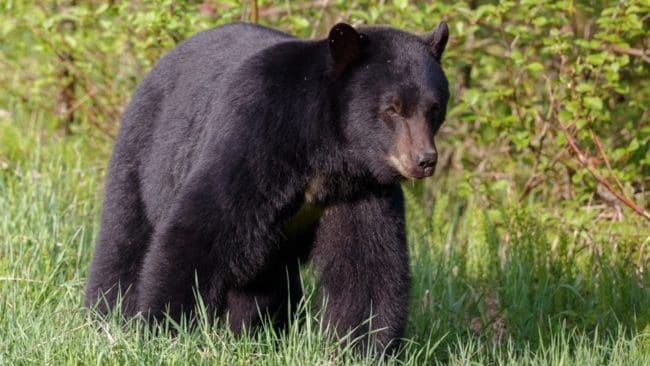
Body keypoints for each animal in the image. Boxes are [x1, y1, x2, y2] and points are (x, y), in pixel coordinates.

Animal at [86, 20, 448, 352]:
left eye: (434, 107)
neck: (328, 154)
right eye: (392, 108)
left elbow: (367, 264)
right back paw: (107, 314)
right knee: (125, 237)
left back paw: (256, 334)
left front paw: (362, 346)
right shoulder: (256, 137)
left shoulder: (359, 189)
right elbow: (201, 230)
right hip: (145, 151)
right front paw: (164, 330)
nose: (424, 160)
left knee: (264, 283)